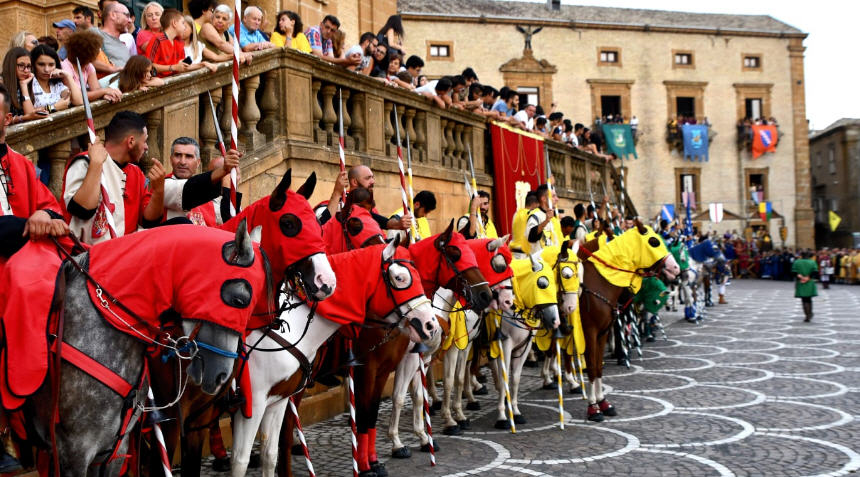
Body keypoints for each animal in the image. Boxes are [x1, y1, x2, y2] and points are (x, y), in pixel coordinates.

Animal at [576, 219, 680, 420]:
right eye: (654, 241)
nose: (676, 268)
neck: (599, 282)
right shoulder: (589, 332)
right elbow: (591, 367)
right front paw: (593, 408)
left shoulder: (602, 332)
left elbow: (598, 368)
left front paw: (604, 403)